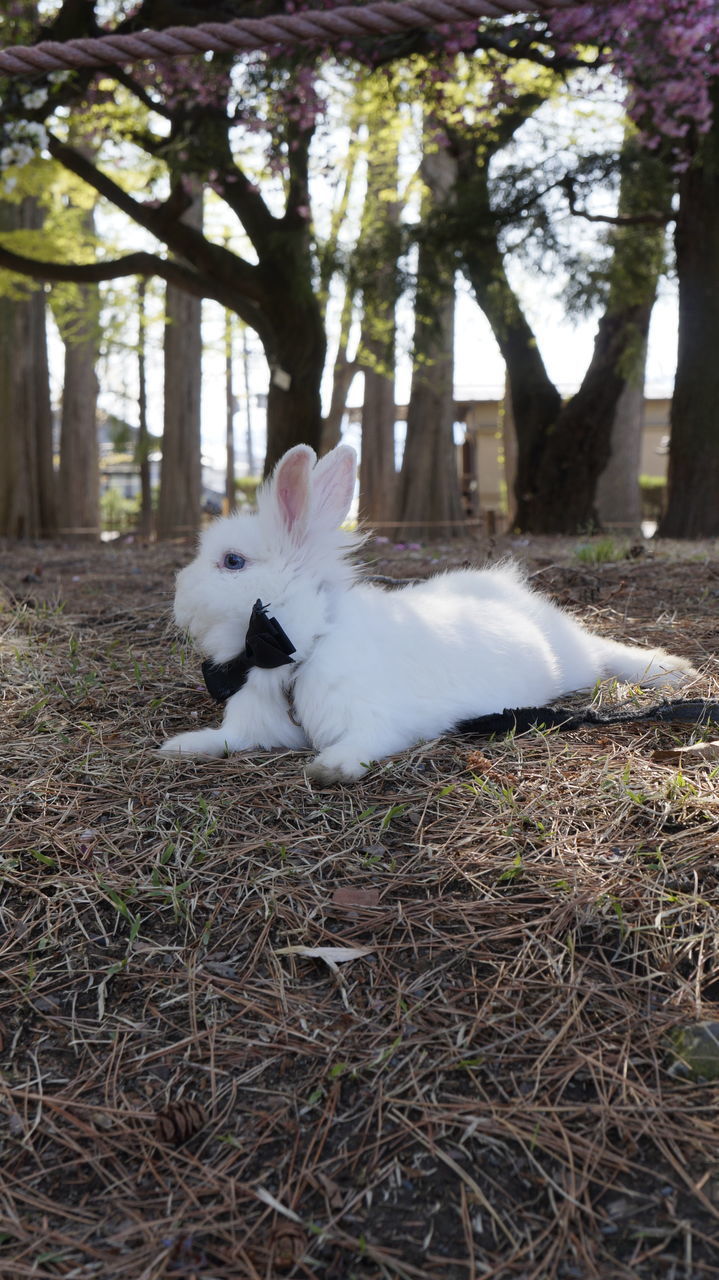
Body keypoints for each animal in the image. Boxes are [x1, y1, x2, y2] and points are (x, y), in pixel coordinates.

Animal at [161, 442, 695, 778]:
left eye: (232, 561)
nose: (178, 595)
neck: (297, 648)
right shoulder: (250, 724)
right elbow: (228, 739)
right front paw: (183, 747)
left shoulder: (381, 717)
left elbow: (368, 740)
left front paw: (330, 768)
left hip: (574, 656)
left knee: (605, 652)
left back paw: (671, 670)